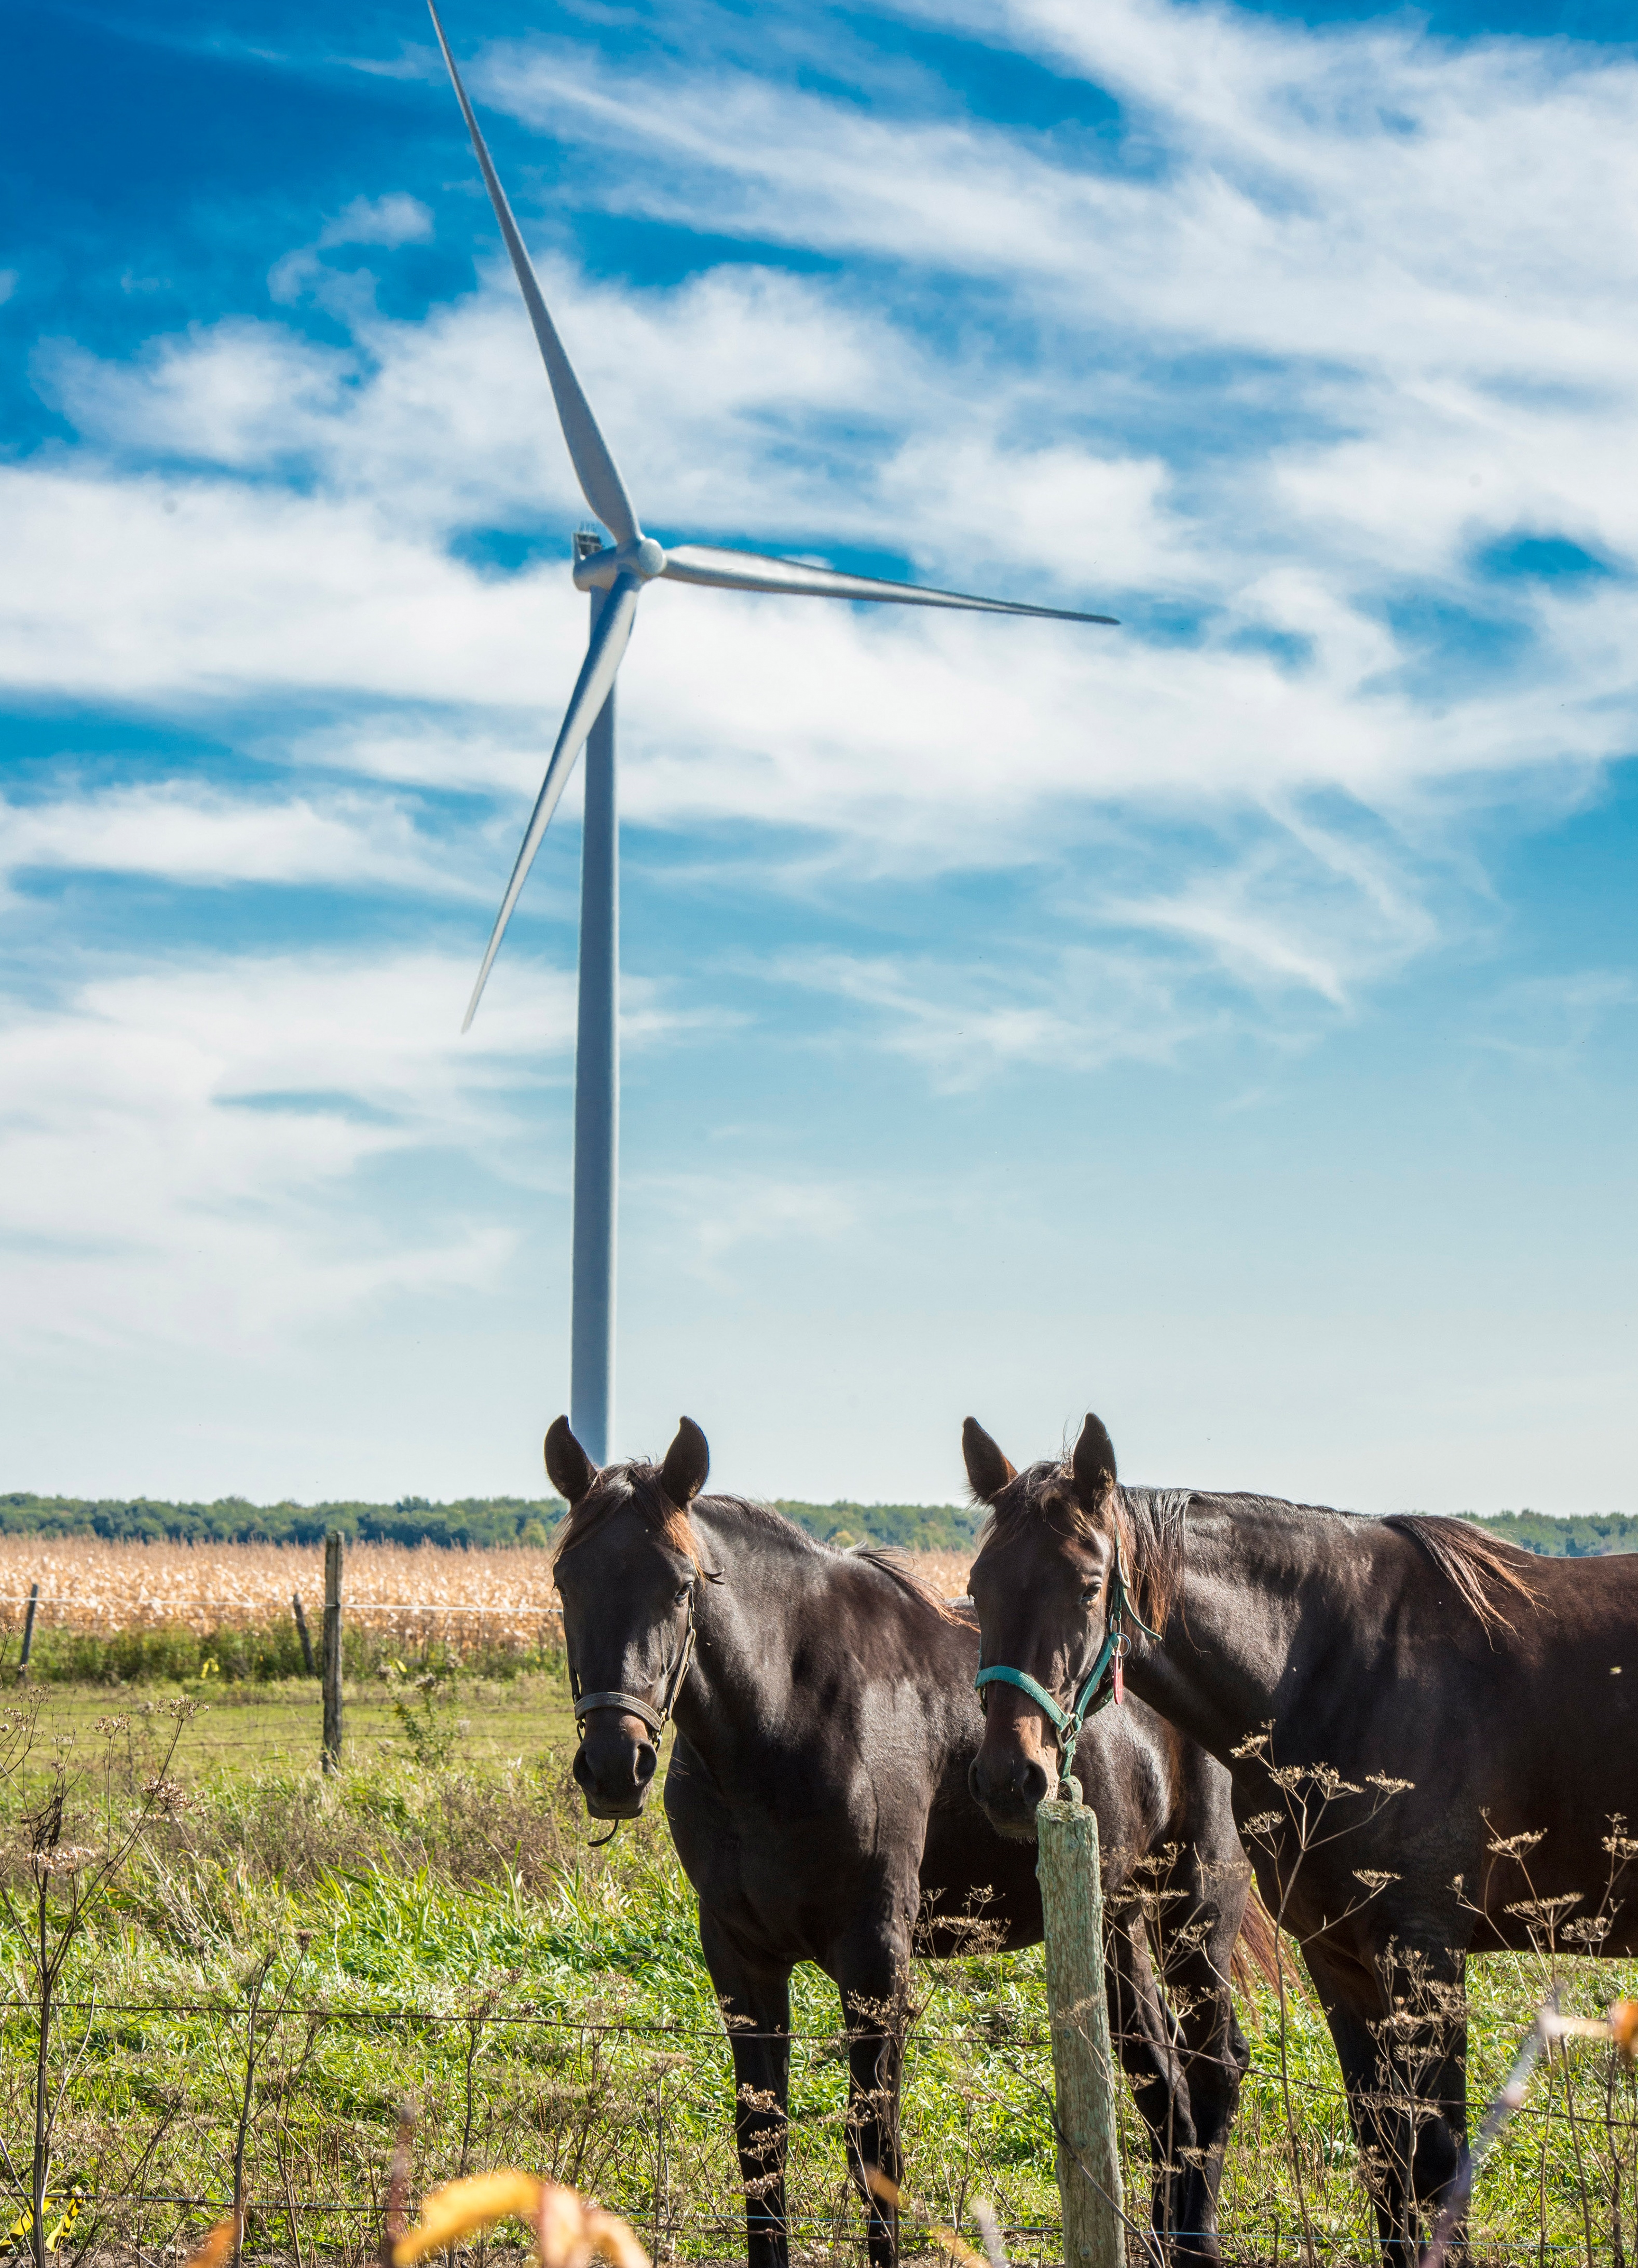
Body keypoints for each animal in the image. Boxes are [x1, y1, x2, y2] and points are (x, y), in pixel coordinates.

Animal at [542, 1415, 1261, 2268]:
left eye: (682, 1585)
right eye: (565, 1581)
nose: (614, 1763)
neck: (785, 1714)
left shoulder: (875, 1959)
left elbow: (874, 2154)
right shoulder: (740, 1958)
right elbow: (761, 2147)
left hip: (1196, 1912)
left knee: (1213, 2075)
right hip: (1116, 1922)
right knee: (1164, 2093)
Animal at [957, 1406, 1633, 2268]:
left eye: (1086, 1585)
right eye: (978, 1586)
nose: (1009, 1778)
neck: (1343, 1666)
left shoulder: (1426, 1951)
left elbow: (1436, 2165)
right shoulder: (1340, 1954)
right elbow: (1384, 2157)